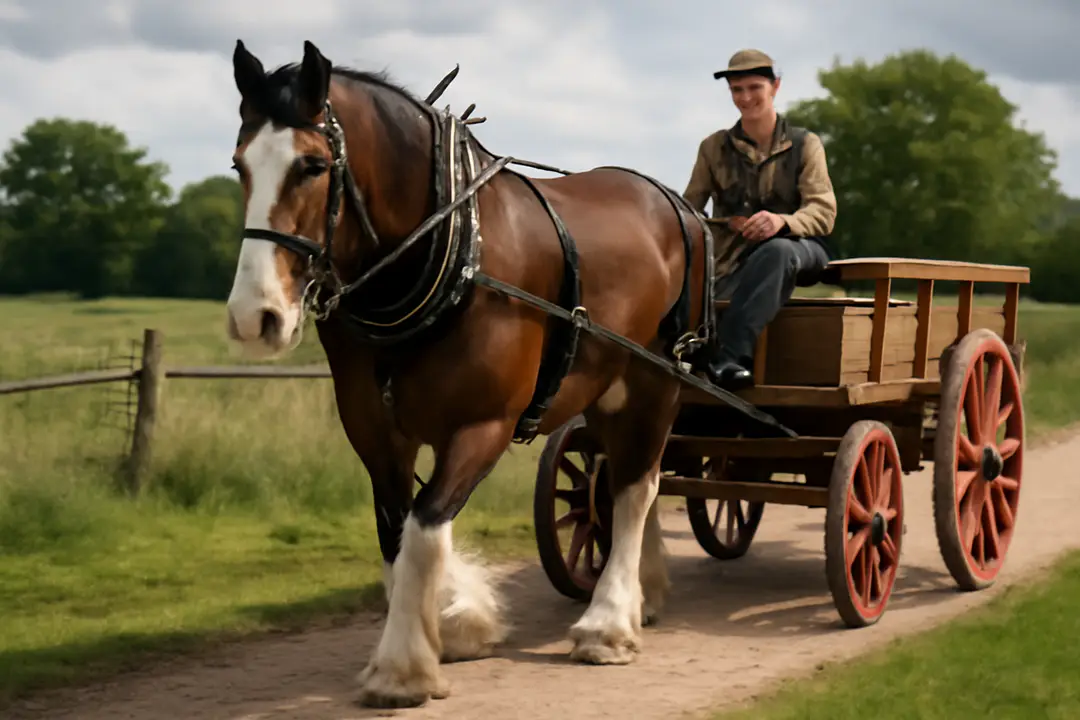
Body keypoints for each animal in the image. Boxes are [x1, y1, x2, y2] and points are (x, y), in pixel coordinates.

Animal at [223, 39, 718, 709]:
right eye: (239, 165)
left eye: (312, 165)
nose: (256, 316)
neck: (450, 259)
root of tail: (678, 204)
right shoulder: (374, 432)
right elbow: (397, 527)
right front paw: (458, 620)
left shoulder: (485, 425)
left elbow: (427, 525)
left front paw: (403, 666)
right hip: (607, 387)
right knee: (624, 477)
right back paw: (646, 591)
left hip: (656, 379)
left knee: (637, 486)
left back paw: (608, 622)